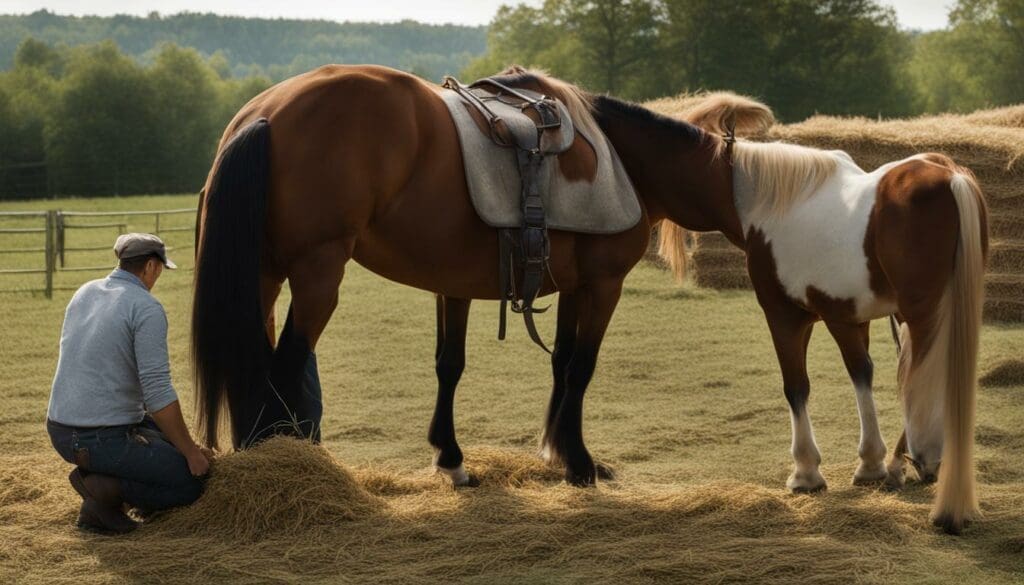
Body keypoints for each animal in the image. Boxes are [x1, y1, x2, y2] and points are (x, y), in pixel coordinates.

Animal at [192, 63, 741, 489]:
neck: (621, 161)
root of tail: (265, 112)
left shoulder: (526, 287)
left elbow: (476, 365)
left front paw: (460, 457)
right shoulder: (604, 285)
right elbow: (580, 368)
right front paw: (579, 463)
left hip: (264, 277)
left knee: (254, 364)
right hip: (317, 276)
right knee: (284, 367)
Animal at [659, 92, 987, 536]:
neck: (769, 201)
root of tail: (951, 176)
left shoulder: (790, 315)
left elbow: (800, 386)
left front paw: (809, 473)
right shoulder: (852, 317)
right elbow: (863, 374)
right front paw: (874, 464)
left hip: (923, 313)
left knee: (924, 373)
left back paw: (927, 466)